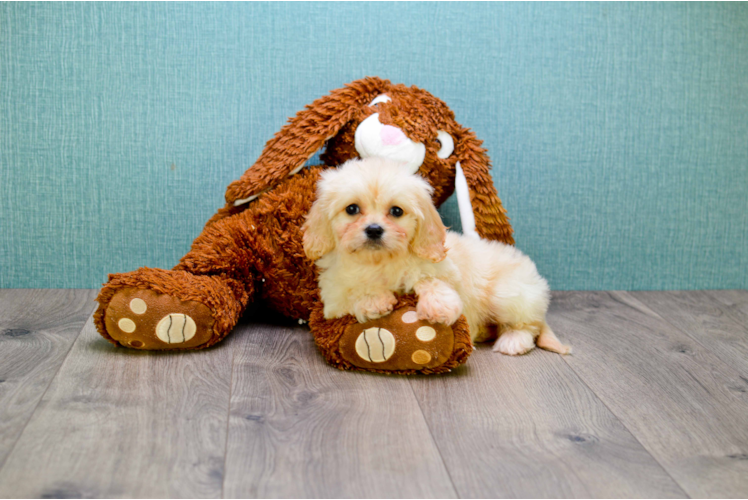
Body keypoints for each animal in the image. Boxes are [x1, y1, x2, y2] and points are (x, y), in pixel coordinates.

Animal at [300, 156, 568, 356]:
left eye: (396, 211)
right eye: (352, 209)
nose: (374, 230)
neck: (381, 261)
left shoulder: (445, 269)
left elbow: (430, 278)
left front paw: (439, 306)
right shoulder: (332, 298)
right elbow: (353, 291)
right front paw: (373, 299)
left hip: (507, 295)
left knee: (529, 325)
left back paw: (513, 341)